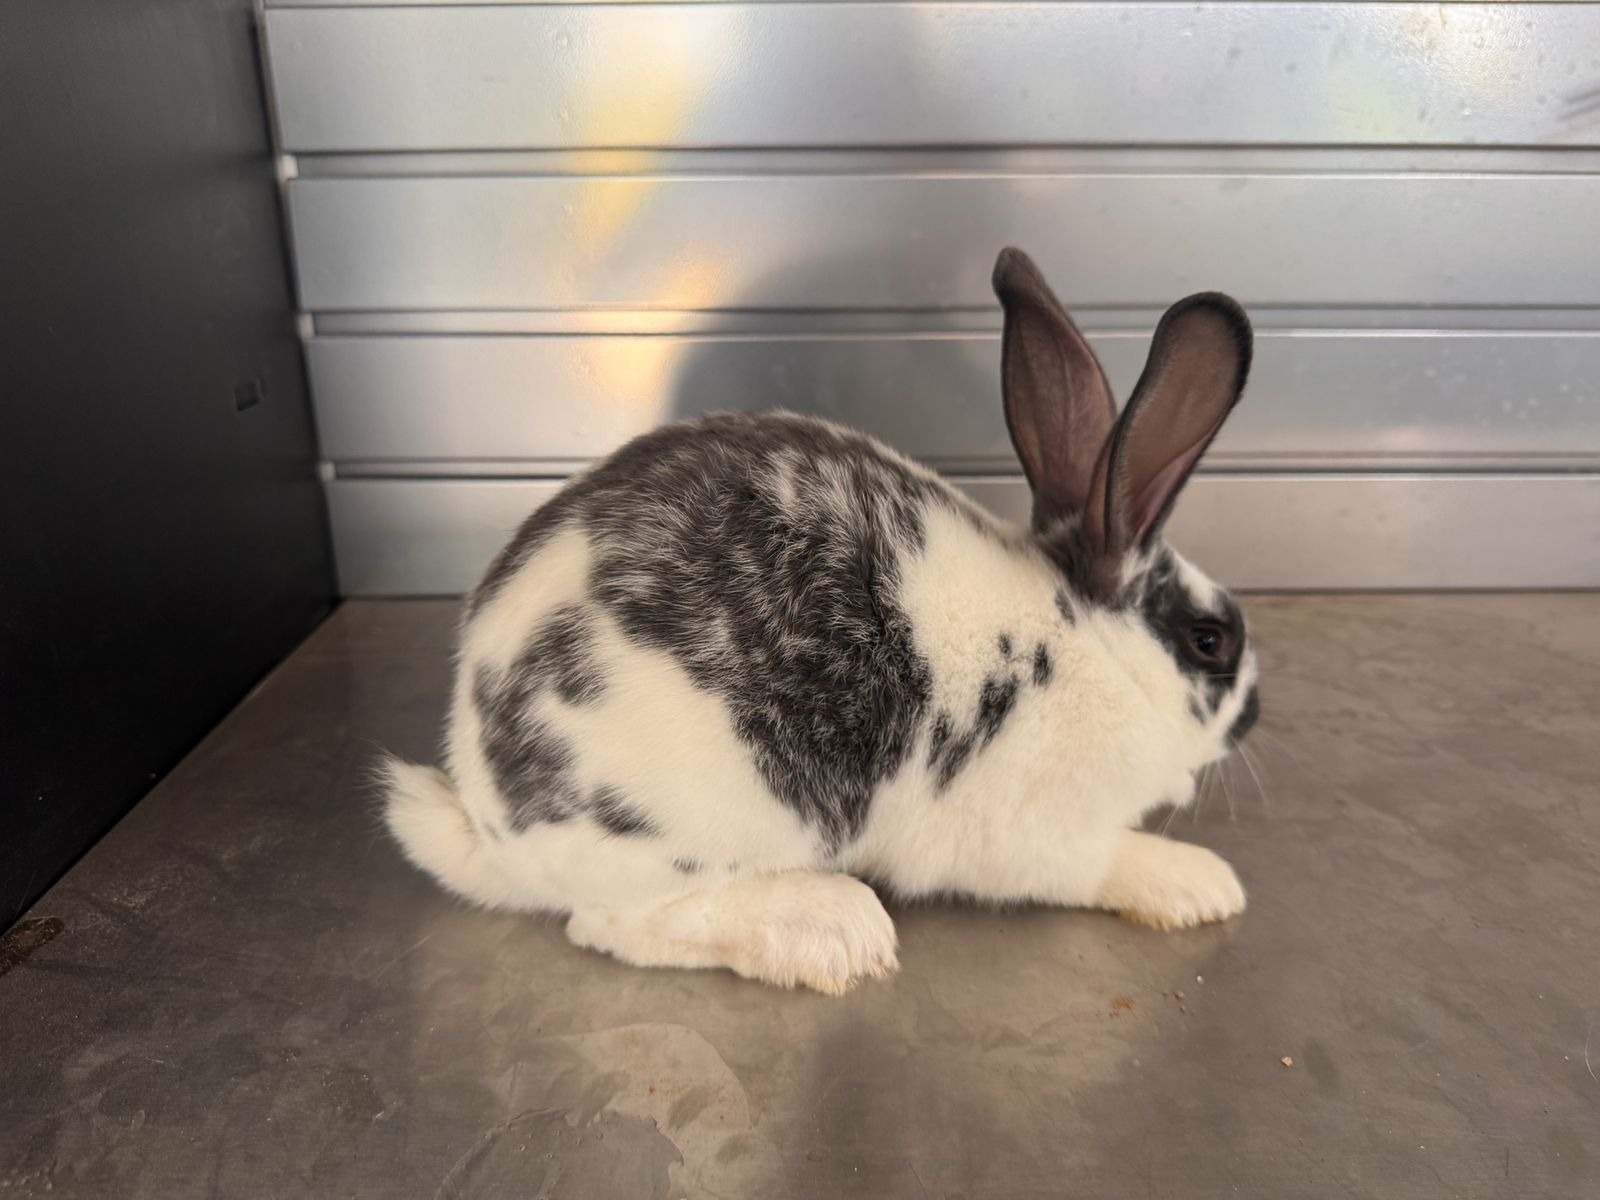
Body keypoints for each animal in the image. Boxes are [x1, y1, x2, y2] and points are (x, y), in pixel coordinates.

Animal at [382, 246, 1260, 994]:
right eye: (1210, 639)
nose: (1255, 710)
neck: (1090, 642)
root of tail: (489, 821)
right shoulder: (1044, 836)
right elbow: (1107, 861)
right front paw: (1201, 883)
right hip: (700, 828)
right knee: (612, 923)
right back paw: (829, 932)